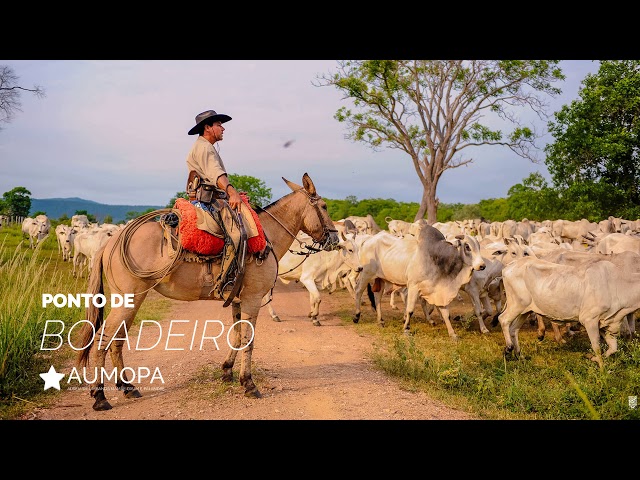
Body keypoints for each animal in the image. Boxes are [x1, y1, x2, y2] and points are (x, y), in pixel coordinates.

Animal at [75, 174, 340, 410]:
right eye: (324, 206)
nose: (335, 239)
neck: (265, 237)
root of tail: (111, 241)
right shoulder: (253, 299)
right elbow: (248, 339)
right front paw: (249, 383)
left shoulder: (238, 299)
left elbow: (236, 336)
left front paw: (227, 371)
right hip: (128, 300)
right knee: (102, 340)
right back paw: (100, 396)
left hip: (133, 300)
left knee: (117, 340)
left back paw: (128, 387)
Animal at [352, 221, 482, 338]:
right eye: (467, 247)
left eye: (479, 246)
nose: (482, 265)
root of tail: (368, 240)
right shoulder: (413, 286)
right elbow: (410, 310)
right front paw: (406, 329)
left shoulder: (438, 290)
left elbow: (446, 313)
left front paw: (452, 333)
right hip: (366, 274)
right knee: (358, 291)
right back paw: (357, 316)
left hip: (381, 279)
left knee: (377, 297)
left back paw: (380, 321)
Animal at [498, 251, 640, 368]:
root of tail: (510, 265)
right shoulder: (589, 319)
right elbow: (597, 347)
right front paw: (602, 370)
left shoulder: (607, 323)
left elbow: (612, 349)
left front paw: (593, 359)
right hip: (516, 305)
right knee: (503, 319)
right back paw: (508, 348)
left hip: (525, 310)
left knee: (514, 329)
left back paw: (519, 355)